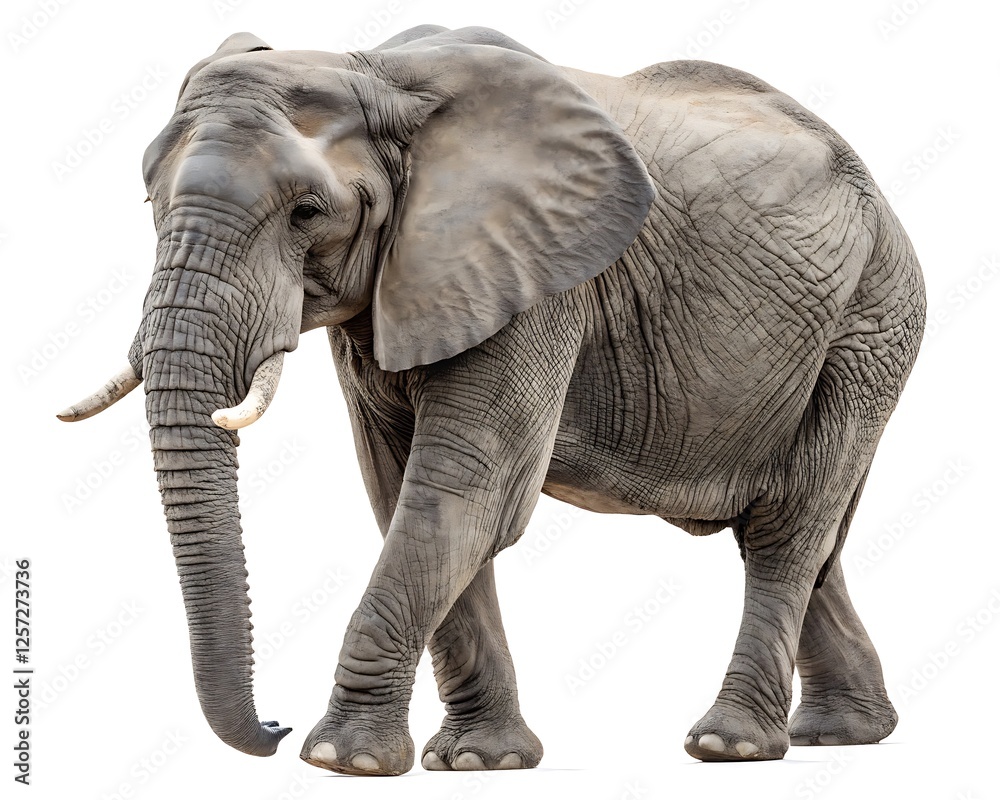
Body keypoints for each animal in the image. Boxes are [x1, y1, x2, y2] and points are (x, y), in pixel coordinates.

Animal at [59, 25, 925, 774]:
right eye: (150, 204)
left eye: (307, 213)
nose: (271, 724)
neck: (373, 70)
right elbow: (403, 490)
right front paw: (480, 760)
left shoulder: (541, 278)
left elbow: (466, 490)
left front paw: (343, 760)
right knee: (804, 534)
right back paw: (845, 734)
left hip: (871, 324)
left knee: (787, 529)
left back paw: (730, 745)